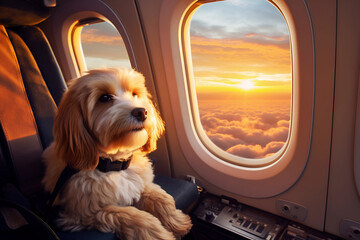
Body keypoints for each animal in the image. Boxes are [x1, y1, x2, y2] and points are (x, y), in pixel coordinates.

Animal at [41, 68, 193, 240]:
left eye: (135, 93)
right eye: (105, 97)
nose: (142, 111)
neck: (113, 165)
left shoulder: (141, 183)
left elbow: (161, 198)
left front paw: (177, 221)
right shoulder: (82, 214)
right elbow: (133, 216)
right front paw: (158, 234)